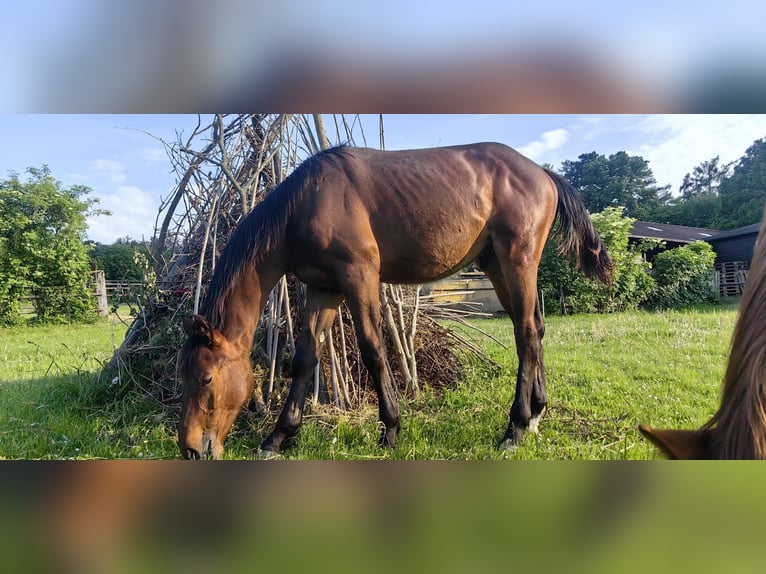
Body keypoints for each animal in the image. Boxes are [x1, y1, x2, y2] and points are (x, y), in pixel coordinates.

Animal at [176, 145, 612, 464]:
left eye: (206, 379)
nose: (191, 449)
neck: (306, 203)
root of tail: (543, 173)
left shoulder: (359, 275)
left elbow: (373, 349)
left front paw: (390, 429)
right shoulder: (323, 289)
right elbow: (304, 357)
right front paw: (278, 437)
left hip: (517, 259)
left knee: (525, 331)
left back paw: (515, 427)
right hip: (496, 265)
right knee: (535, 328)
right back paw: (536, 413)